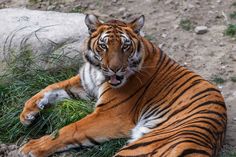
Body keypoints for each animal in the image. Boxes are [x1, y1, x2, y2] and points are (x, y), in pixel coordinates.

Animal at [18, 14, 227, 156]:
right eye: (103, 45)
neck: (97, 71)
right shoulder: (84, 84)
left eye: (125, 46)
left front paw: (32, 147)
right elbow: (50, 88)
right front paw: (27, 113)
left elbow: (69, 130)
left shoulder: (109, 114)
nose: (115, 69)